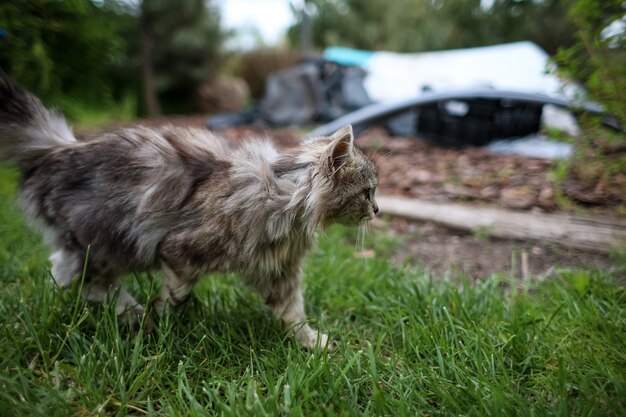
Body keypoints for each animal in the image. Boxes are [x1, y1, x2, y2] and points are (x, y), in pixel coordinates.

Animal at [0, 74, 376, 348]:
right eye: (368, 191)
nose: (376, 209)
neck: (286, 200)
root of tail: (58, 147)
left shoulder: (278, 271)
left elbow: (293, 312)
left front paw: (314, 344)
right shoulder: (180, 250)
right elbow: (176, 292)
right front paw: (161, 320)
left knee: (69, 275)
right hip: (107, 243)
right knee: (72, 276)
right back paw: (133, 314)